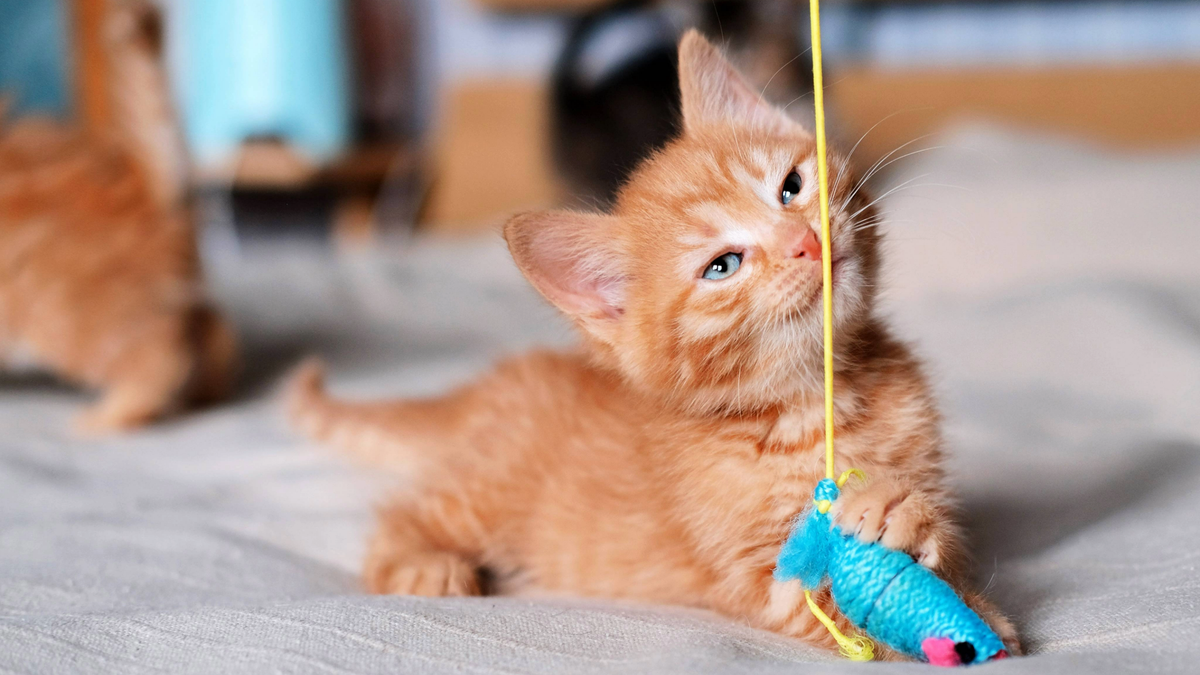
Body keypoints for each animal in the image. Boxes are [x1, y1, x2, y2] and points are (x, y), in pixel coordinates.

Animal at [0, 1, 236, 429]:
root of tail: (139, 177)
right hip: (163, 299)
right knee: (216, 335)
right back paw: (203, 396)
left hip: (71, 322)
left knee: (159, 360)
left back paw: (105, 418)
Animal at [288, 31, 1012, 658]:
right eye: (723, 266)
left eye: (791, 187)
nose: (805, 241)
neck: (822, 399)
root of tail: (494, 386)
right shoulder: (754, 575)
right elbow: (820, 599)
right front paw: (953, 627)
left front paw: (908, 517)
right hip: (484, 496)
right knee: (404, 513)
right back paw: (422, 563)